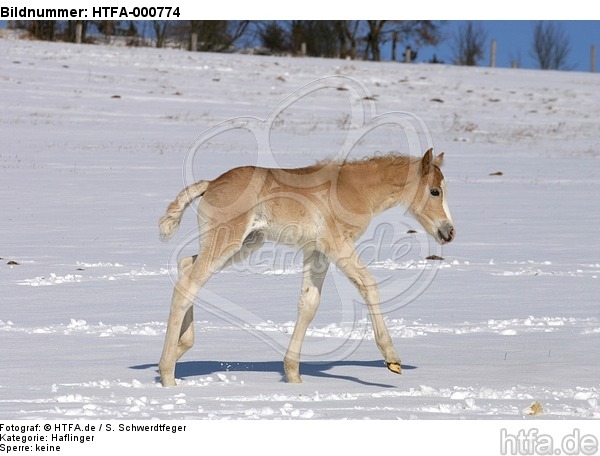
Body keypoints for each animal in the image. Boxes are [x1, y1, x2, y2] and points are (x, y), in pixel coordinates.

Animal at [157, 149, 452, 384]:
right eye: (434, 191)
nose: (449, 232)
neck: (354, 188)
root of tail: (211, 184)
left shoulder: (316, 252)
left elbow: (309, 305)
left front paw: (293, 376)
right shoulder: (338, 246)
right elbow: (369, 286)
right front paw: (392, 359)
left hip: (246, 244)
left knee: (186, 266)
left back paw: (180, 349)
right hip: (227, 241)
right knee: (188, 285)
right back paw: (168, 374)